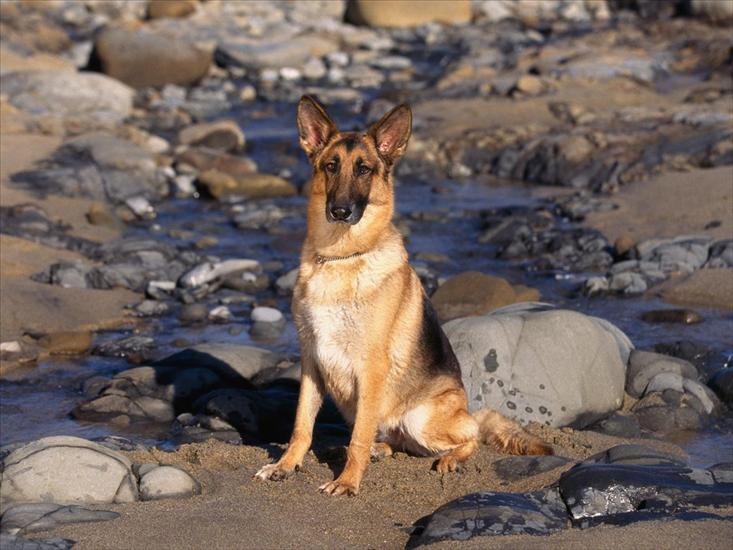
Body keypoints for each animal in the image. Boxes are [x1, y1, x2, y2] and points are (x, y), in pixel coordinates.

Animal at [254, 97, 548, 498]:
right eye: (331, 166)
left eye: (364, 169)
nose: (340, 211)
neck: (343, 257)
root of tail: (468, 408)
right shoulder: (312, 362)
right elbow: (302, 424)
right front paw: (285, 465)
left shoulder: (371, 367)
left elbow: (359, 436)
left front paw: (347, 481)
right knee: (395, 440)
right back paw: (380, 449)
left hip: (421, 417)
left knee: (470, 435)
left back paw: (449, 459)